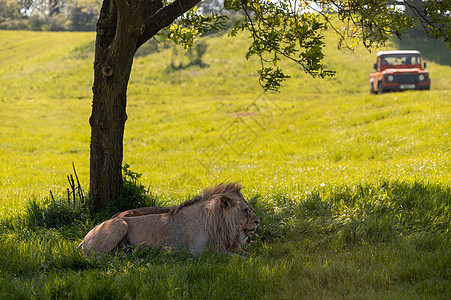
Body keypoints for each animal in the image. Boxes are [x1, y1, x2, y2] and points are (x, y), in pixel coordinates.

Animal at [79, 183, 260, 255]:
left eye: (249, 209)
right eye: (245, 211)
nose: (258, 221)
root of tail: (83, 239)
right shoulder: (201, 253)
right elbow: (235, 257)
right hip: (119, 224)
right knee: (96, 258)